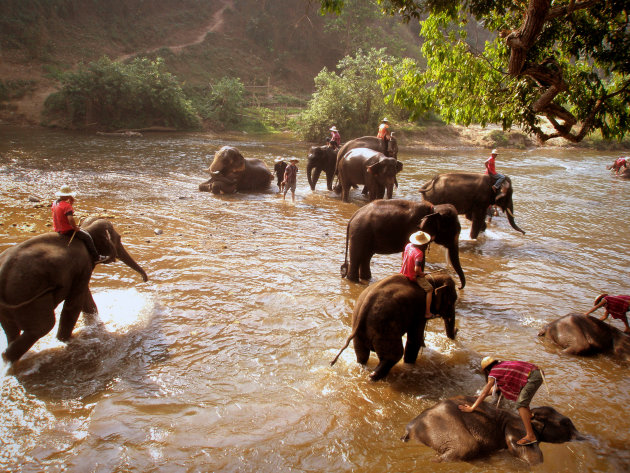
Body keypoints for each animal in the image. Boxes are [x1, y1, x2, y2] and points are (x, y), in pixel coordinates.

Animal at [0, 218, 149, 362]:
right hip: (29, 298)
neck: (84, 229)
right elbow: (74, 304)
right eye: (119, 239)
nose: (144, 279)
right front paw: (64, 341)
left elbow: (85, 299)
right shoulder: (83, 264)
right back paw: (9, 358)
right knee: (44, 326)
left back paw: (8, 357)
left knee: (12, 329)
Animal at [330, 272, 460, 378]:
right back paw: (374, 376)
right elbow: (415, 339)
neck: (430, 278)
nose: (457, 329)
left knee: (362, 355)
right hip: (385, 329)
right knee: (394, 355)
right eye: (452, 301)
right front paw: (410, 365)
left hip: (359, 330)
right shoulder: (420, 311)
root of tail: (364, 307)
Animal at [340, 197, 470, 286]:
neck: (434, 209)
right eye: (453, 231)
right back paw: (354, 281)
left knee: (366, 257)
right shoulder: (415, 229)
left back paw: (367, 279)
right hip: (359, 234)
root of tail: (353, 217)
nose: (459, 287)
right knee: (357, 256)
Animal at [408, 390, 584, 464]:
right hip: (443, 425)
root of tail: (410, 428)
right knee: (467, 447)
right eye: (566, 423)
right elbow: (529, 455)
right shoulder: (518, 428)